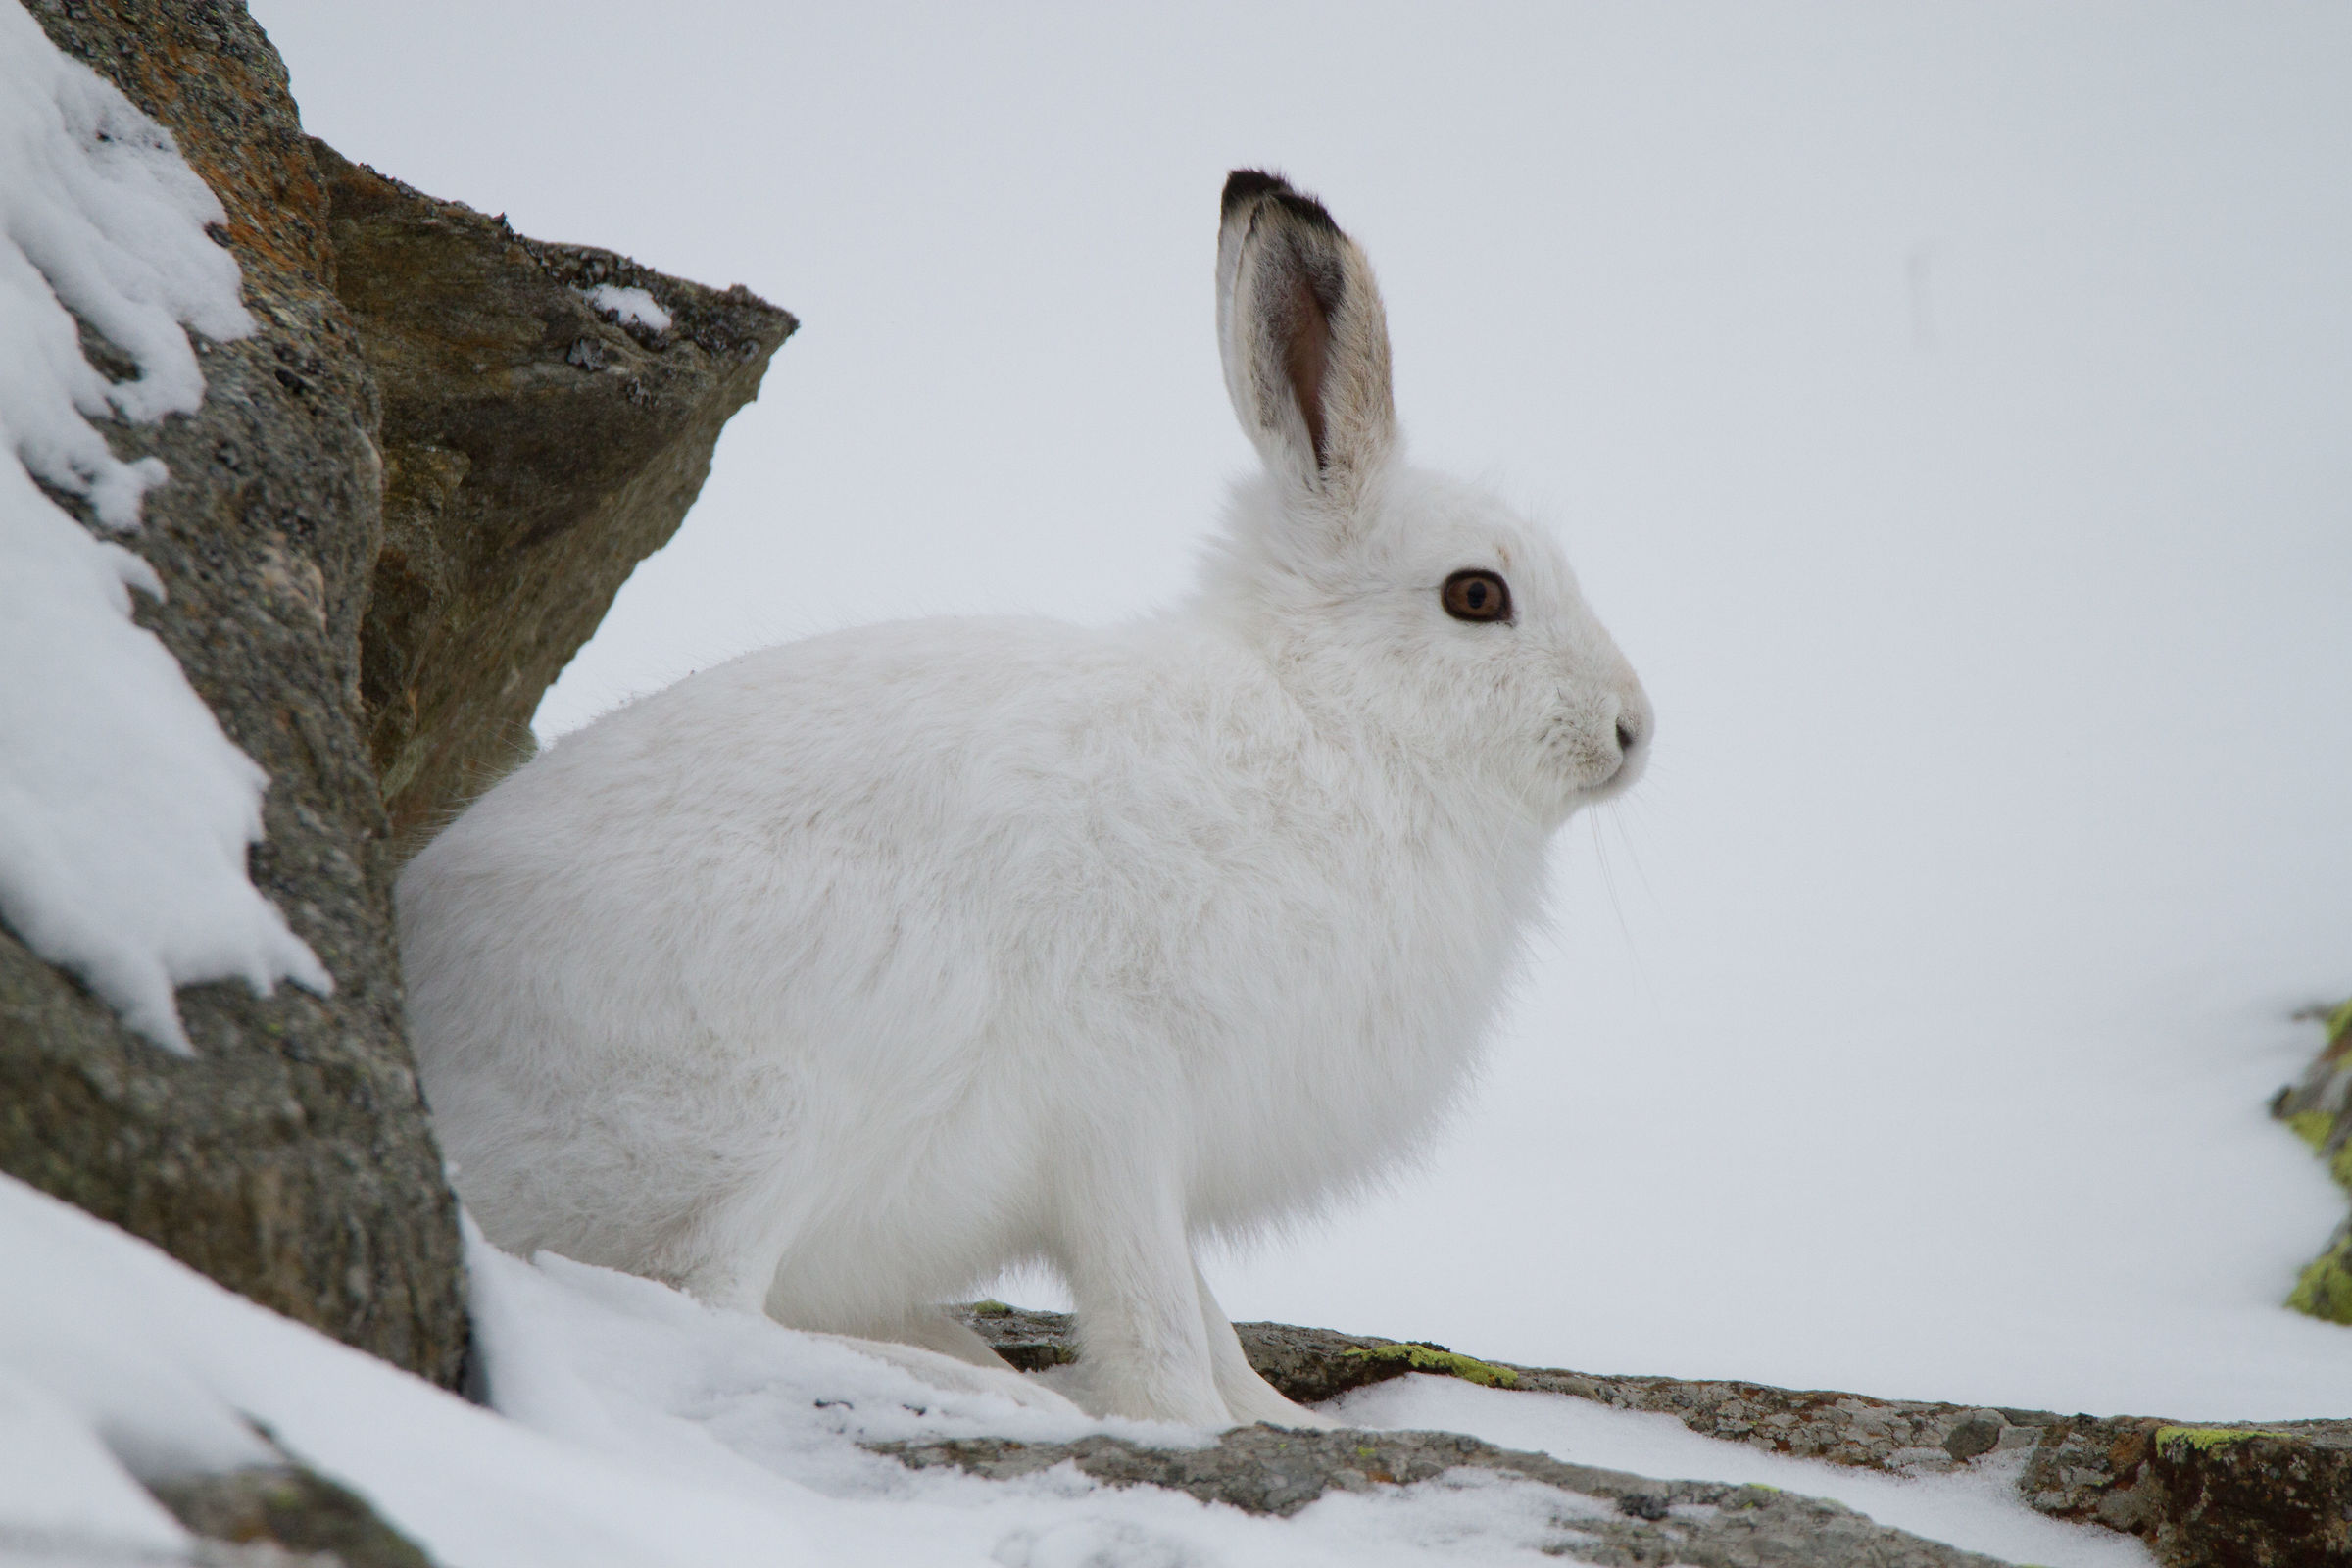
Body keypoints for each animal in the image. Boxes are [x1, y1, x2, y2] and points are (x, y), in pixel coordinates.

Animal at [396, 169, 1651, 1430]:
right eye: (1477, 596)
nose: (1634, 732)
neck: (1332, 717)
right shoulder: (1118, 1095)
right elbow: (1154, 1304)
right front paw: (1187, 1420)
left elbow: (1201, 1303)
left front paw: (1274, 1417)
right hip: (776, 1089)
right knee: (699, 1302)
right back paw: (992, 1389)